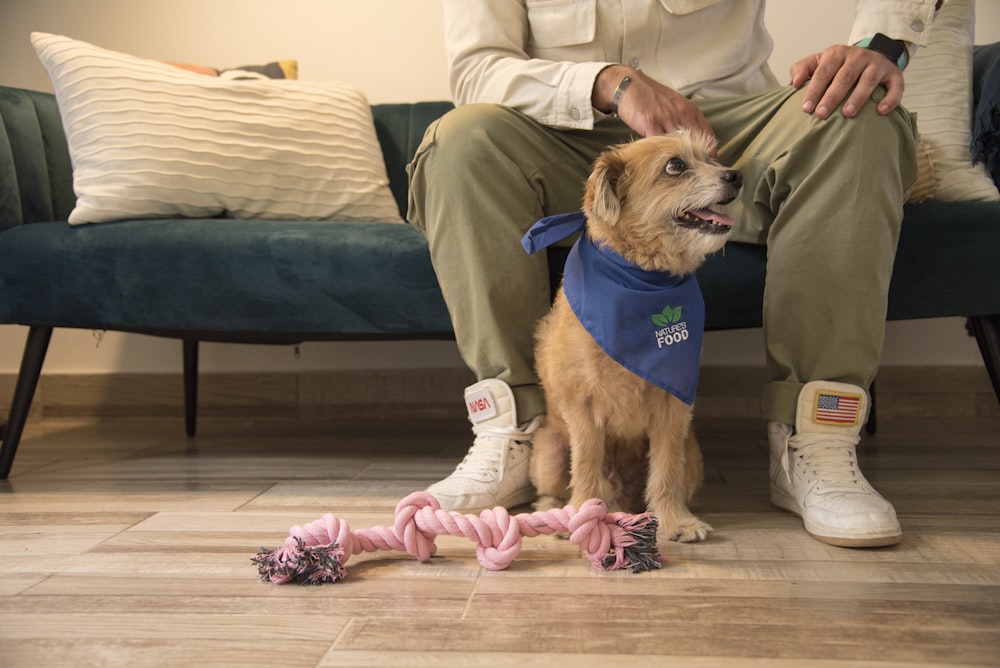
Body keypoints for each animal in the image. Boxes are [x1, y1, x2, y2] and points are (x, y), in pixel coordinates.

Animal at [532, 130, 744, 544]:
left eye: (711, 157)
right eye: (675, 166)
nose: (736, 175)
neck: (641, 277)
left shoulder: (672, 406)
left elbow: (665, 471)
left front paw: (675, 521)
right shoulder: (582, 406)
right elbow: (586, 466)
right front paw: (581, 515)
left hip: (693, 454)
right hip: (548, 453)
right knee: (556, 487)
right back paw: (557, 513)